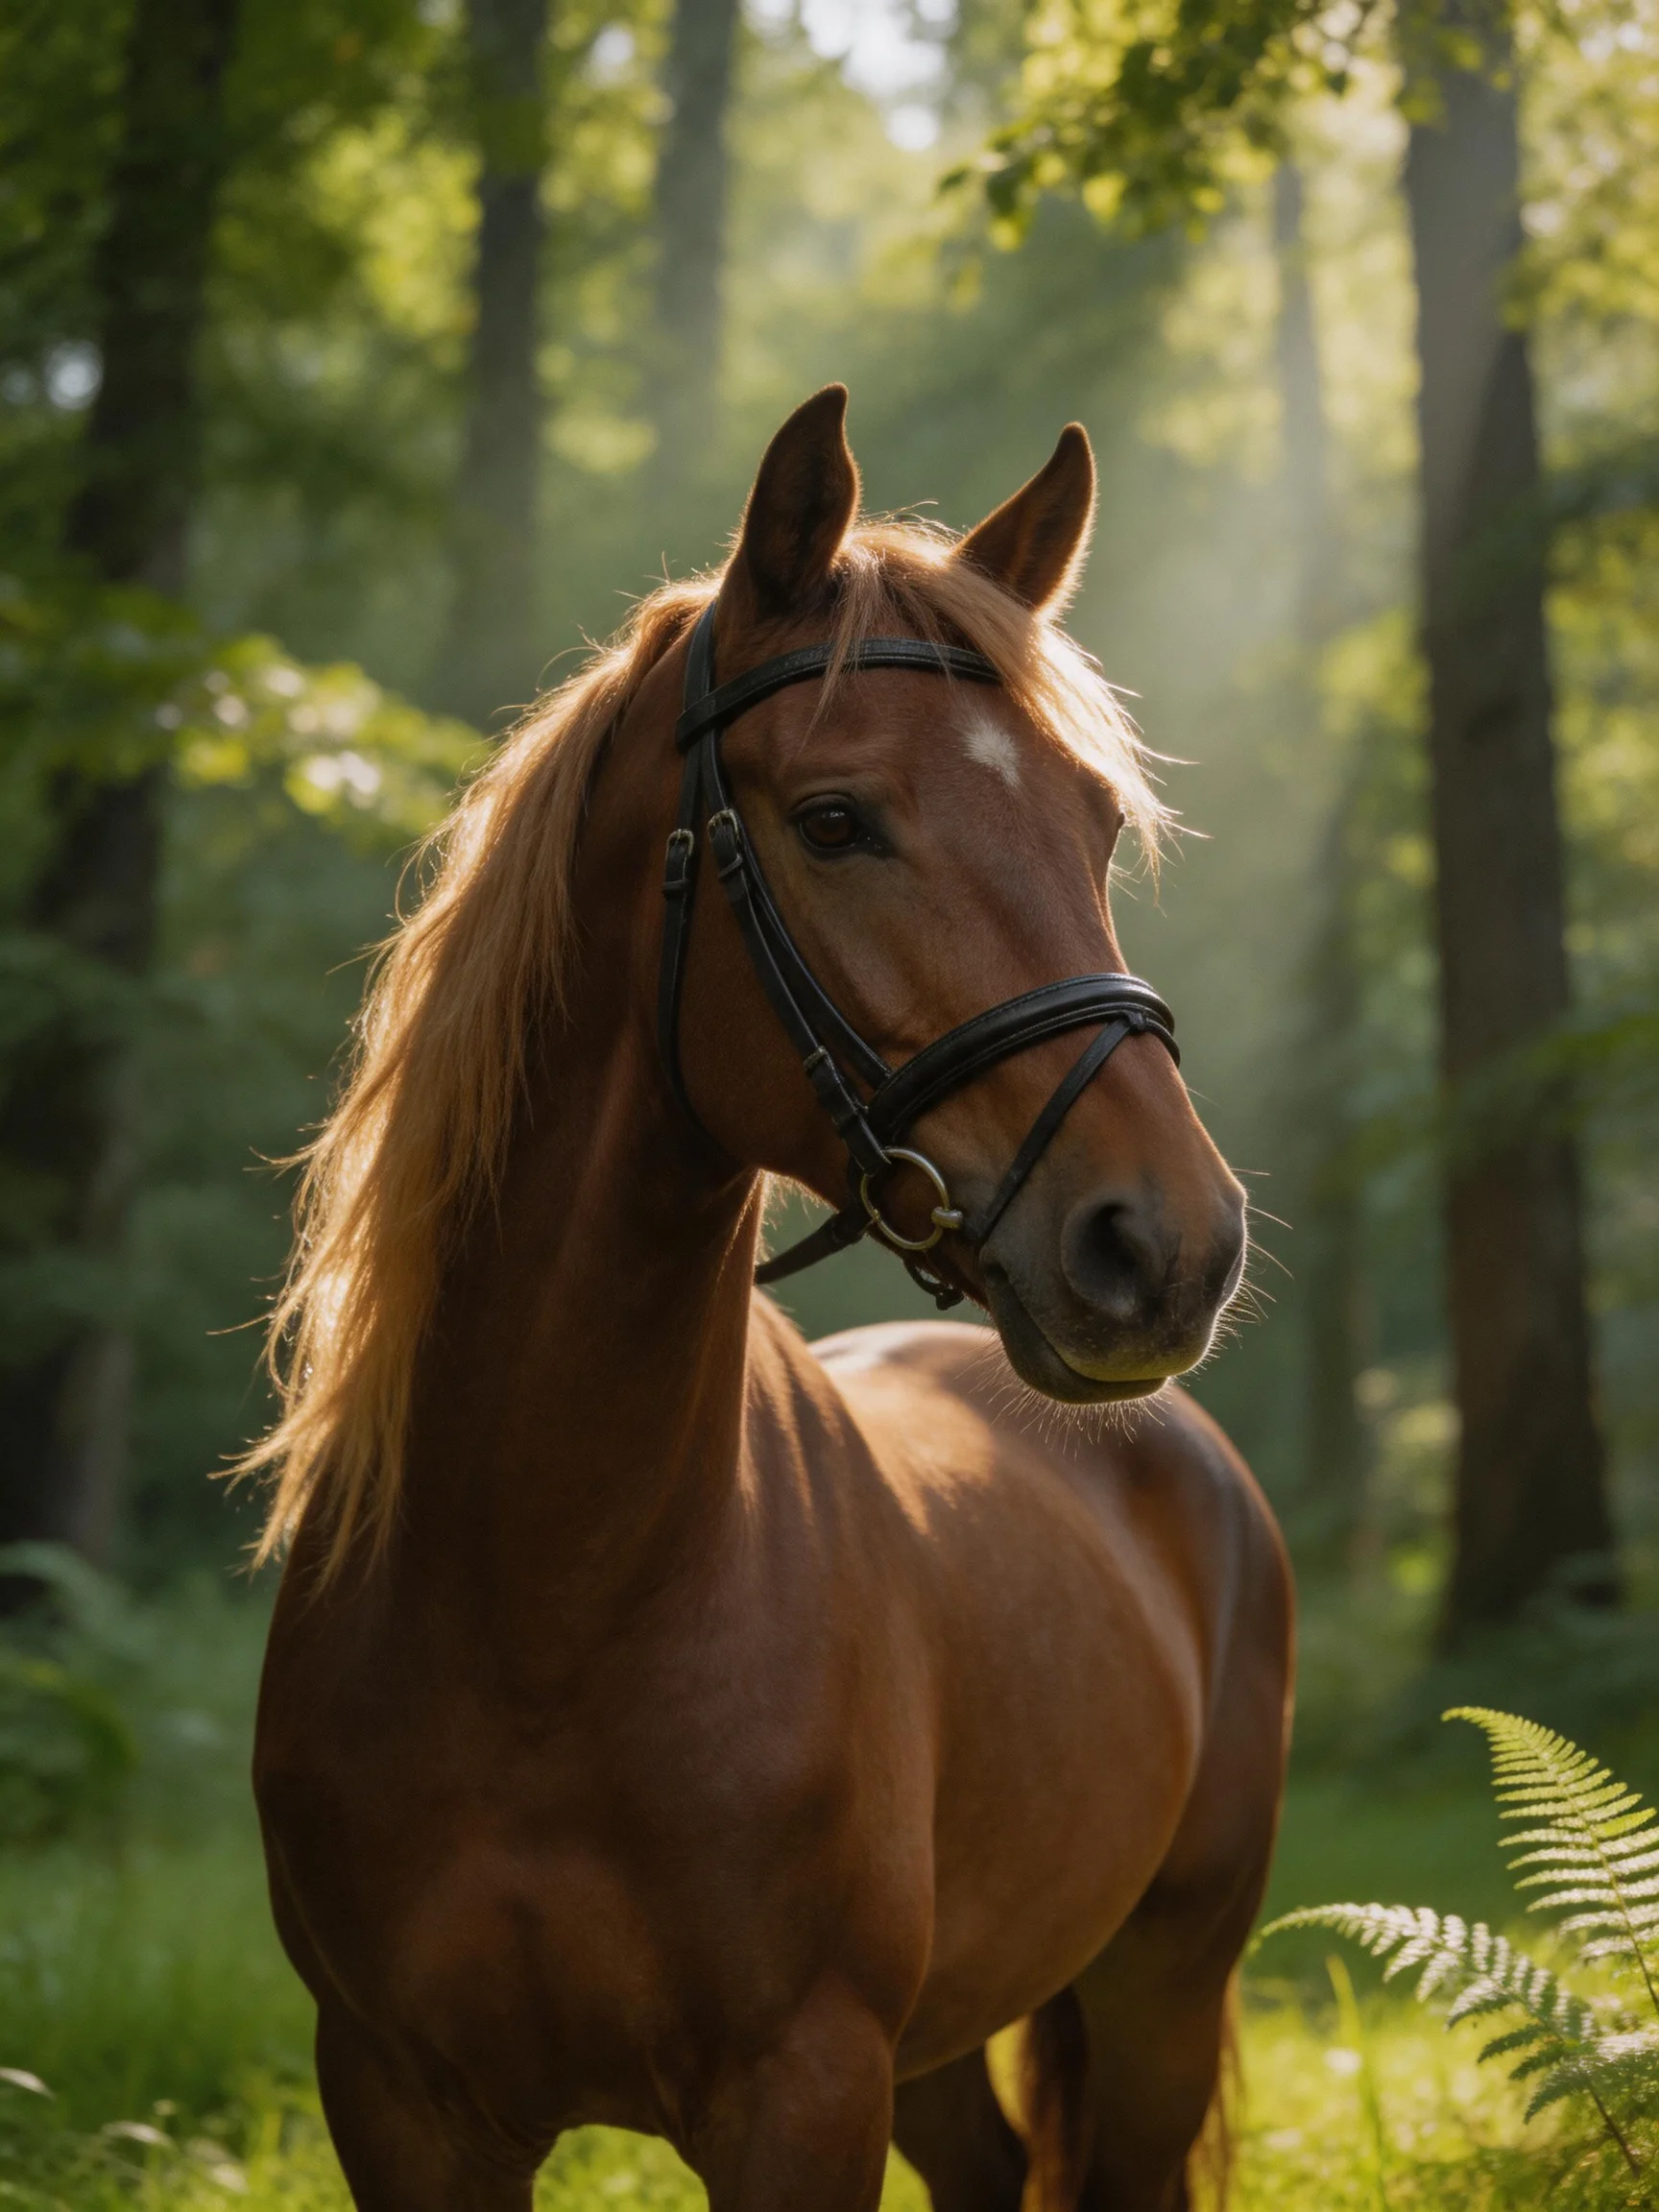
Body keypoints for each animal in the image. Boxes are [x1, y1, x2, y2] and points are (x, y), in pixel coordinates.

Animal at [248, 385, 1293, 2212]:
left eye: (1096, 825)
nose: (1170, 1246)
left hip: (1164, 1981)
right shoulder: (398, 2101)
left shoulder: (800, 2090)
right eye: (834, 821)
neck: (542, 1603)